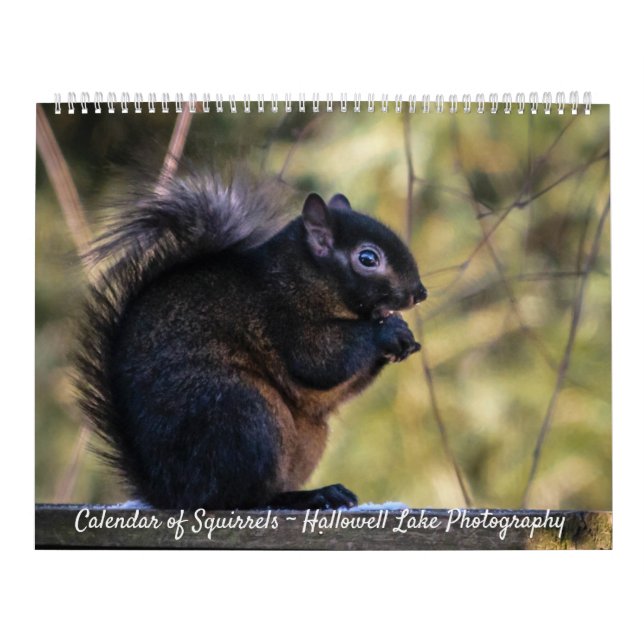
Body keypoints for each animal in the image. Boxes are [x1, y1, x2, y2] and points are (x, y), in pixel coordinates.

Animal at [75, 170, 427, 510]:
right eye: (367, 258)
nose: (420, 293)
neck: (308, 278)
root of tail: (169, 492)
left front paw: (402, 335)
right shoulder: (283, 317)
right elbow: (320, 360)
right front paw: (387, 333)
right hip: (241, 414)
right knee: (238, 497)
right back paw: (309, 497)